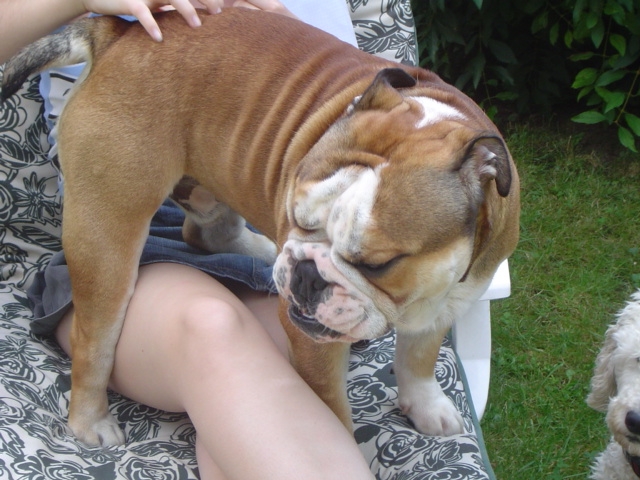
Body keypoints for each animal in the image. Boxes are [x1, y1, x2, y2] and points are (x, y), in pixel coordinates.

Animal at [1, 9, 520, 446]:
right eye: (299, 218)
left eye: (378, 264)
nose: (308, 273)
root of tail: (117, 32)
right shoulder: (311, 341)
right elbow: (331, 413)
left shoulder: (448, 301)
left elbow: (418, 358)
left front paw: (426, 405)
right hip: (108, 235)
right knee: (95, 339)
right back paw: (91, 421)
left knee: (205, 231)